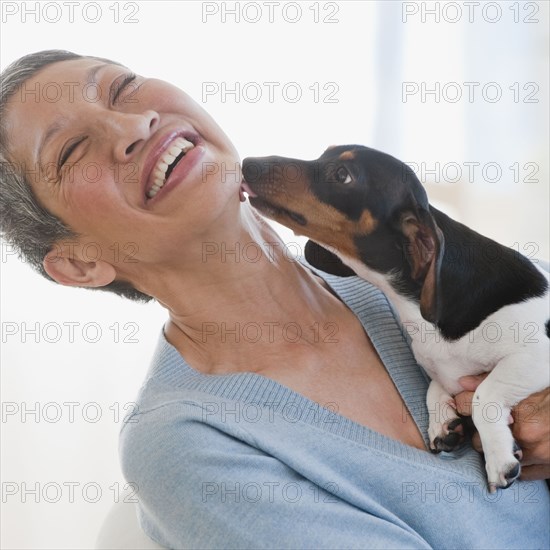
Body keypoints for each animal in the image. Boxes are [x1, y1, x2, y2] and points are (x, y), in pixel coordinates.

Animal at [243, 146, 550, 492]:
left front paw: (499, 458)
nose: (247, 164)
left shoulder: (535, 355)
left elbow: (485, 396)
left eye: (342, 175)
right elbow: (434, 388)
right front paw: (442, 422)